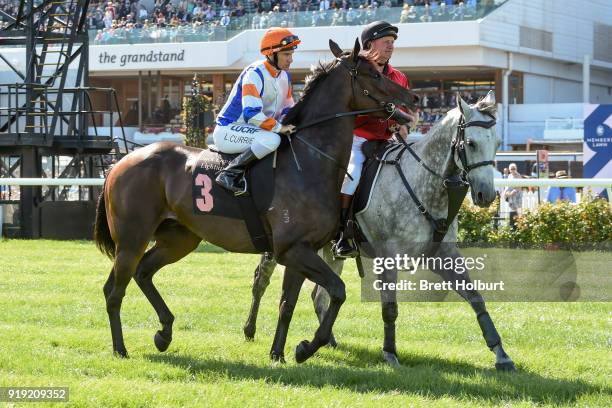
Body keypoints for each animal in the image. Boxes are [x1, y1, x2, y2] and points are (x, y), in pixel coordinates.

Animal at [95, 39, 418, 362]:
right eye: (373, 74)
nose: (413, 97)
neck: (309, 161)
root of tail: (120, 163)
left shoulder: (300, 249)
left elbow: (288, 303)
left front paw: (280, 353)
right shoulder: (293, 249)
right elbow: (337, 291)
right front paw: (306, 347)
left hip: (179, 239)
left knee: (143, 272)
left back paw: (164, 332)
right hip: (132, 239)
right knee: (114, 290)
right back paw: (120, 348)